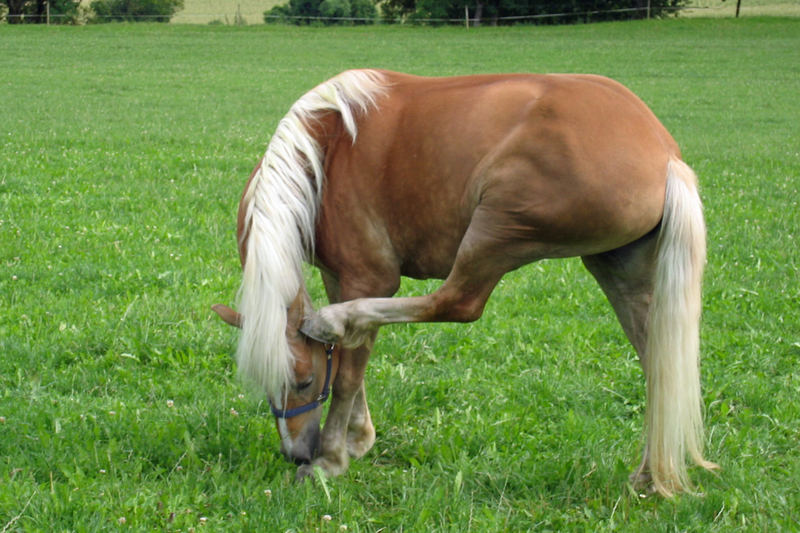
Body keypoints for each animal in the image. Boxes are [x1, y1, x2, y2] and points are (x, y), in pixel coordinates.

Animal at [212, 68, 720, 496]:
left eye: (301, 380)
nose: (295, 453)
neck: (327, 151)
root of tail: (665, 155)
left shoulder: (367, 277)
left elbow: (350, 371)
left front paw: (333, 458)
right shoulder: (339, 275)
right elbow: (352, 363)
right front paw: (358, 438)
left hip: (497, 229)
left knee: (457, 302)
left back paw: (331, 321)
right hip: (617, 270)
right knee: (659, 364)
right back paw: (649, 475)